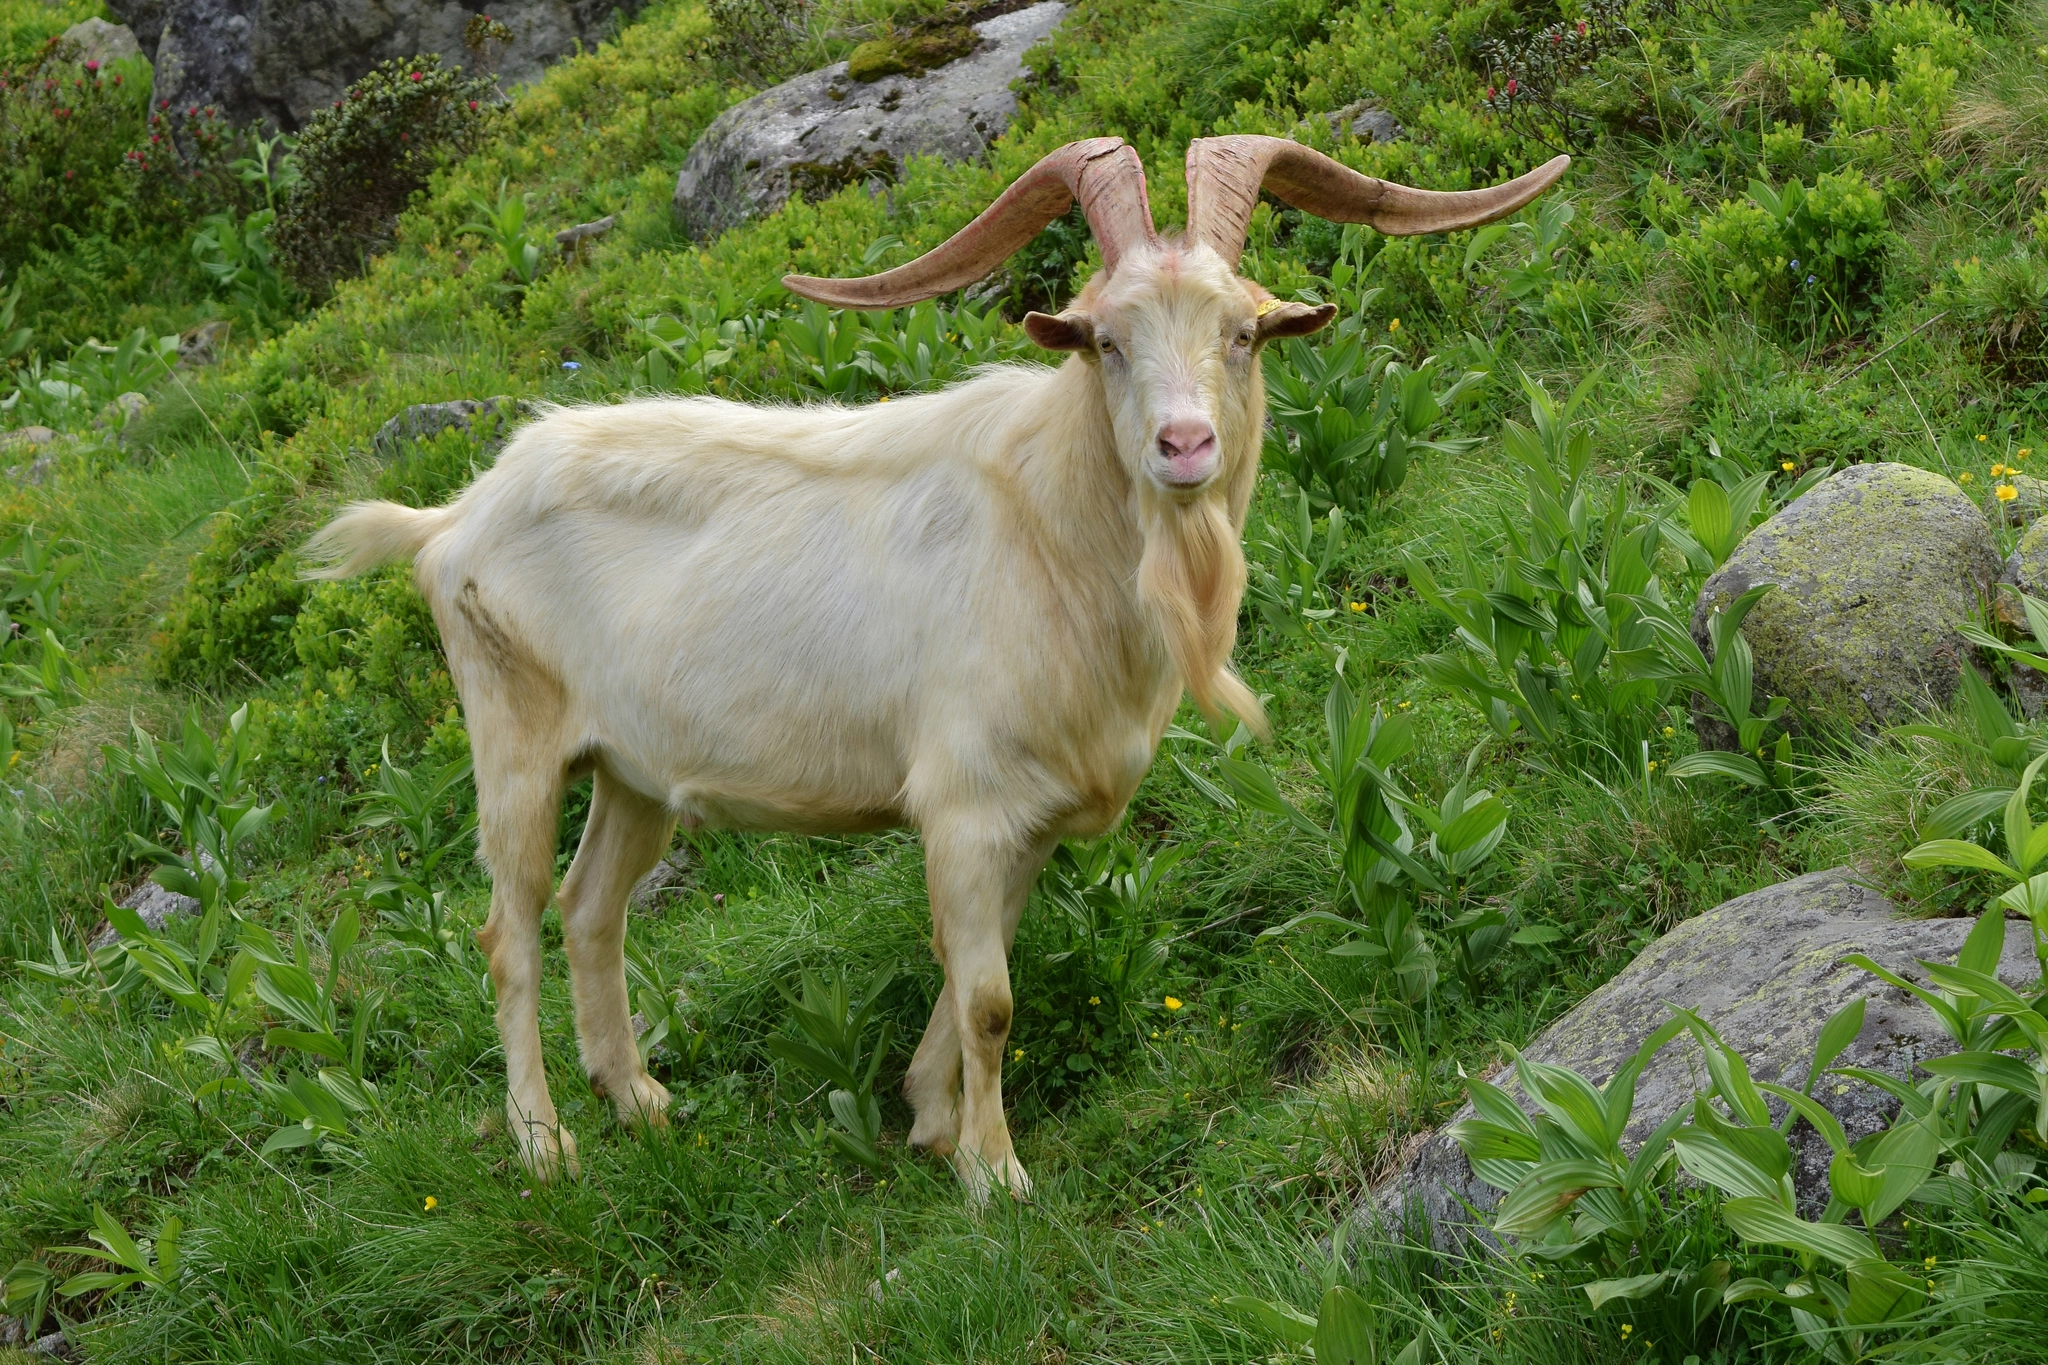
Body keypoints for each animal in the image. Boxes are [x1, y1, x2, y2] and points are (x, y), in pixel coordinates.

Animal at [305, 136, 1566, 1199]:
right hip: (511, 738)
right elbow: (993, 997)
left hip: (630, 771)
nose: (1183, 447)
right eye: (1107, 340)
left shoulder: (1030, 815)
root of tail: (452, 519)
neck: (1052, 528)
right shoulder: (961, 806)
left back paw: (641, 1099)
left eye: (1242, 333)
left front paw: (924, 1117)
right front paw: (991, 1176)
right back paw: (545, 1142)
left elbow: (968, 976)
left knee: (588, 911)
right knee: (507, 930)